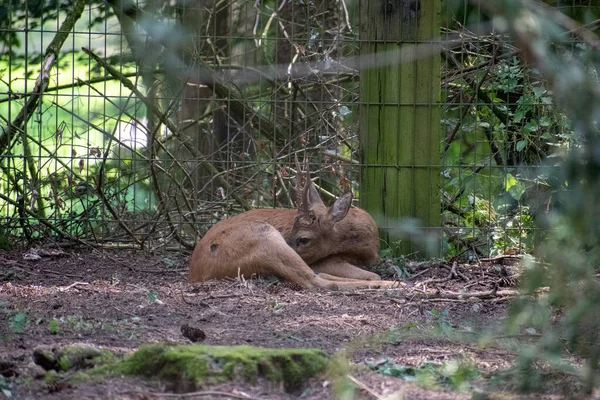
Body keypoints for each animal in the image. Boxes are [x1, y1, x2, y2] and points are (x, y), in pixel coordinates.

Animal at [188, 157, 394, 290]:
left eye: (303, 239)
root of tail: (196, 273)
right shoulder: (325, 260)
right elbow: (371, 273)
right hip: (264, 235)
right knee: (315, 281)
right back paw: (389, 284)